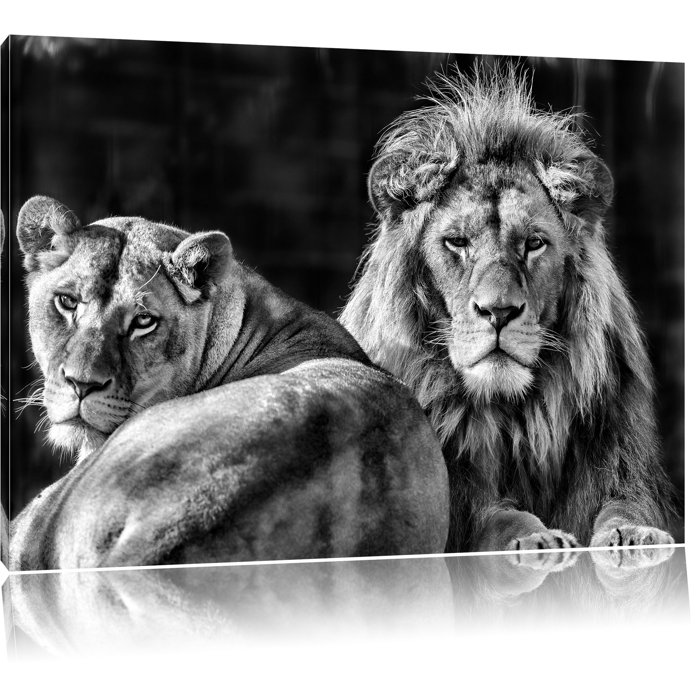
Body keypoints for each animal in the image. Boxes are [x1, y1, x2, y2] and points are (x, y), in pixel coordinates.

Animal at [340, 66, 677, 558]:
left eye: (533, 243)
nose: (498, 311)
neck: (514, 420)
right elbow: (494, 517)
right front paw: (534, 539)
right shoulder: (457, 499)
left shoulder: (620, 463)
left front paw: (635, 535)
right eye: (457, 242)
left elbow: (625, 503)